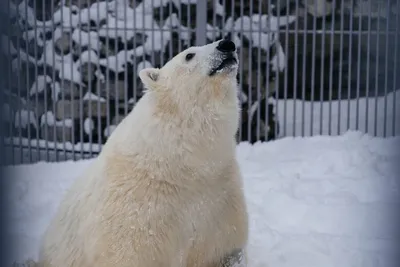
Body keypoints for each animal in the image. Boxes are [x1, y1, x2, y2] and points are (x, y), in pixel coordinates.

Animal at [36, 39, 248, 267]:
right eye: (189, 55)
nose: (227, 44)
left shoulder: (218, 194)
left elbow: (225, 248)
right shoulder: (138, 206)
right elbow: (129, 251)